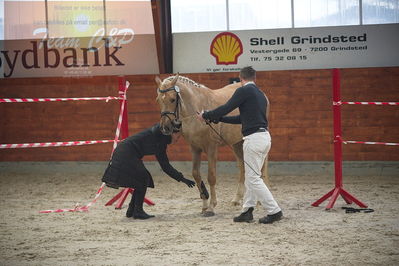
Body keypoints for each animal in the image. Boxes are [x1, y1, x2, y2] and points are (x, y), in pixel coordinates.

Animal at [155, 74, 270, 216]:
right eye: (158, 100)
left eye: (172, 99)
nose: (165, 128)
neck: (197, 108)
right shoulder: (195, 148)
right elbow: (196, 174)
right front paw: (204, 205)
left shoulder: (211, 148)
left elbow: (211, 176)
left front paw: (211, 207)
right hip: (237, 143)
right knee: (243, 168)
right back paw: (237, 199)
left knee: (262, 167)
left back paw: (260, 200)